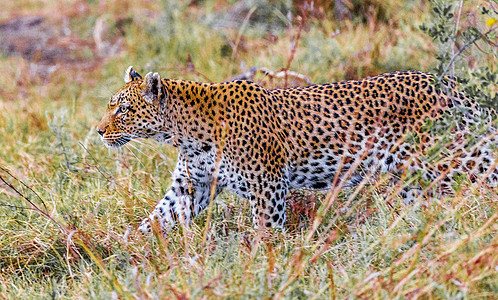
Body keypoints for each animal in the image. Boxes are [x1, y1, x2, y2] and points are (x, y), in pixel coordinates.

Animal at [95, 67, 496, 233]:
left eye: (123, 110)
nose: (98, 131)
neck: (185, 133)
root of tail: (452, 84)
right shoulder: (190, 186)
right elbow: (158, 218)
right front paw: (124, 249)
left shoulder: (268, 186)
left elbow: (267, 231)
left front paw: (261, 264)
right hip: (413, 179)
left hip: (456, 159)